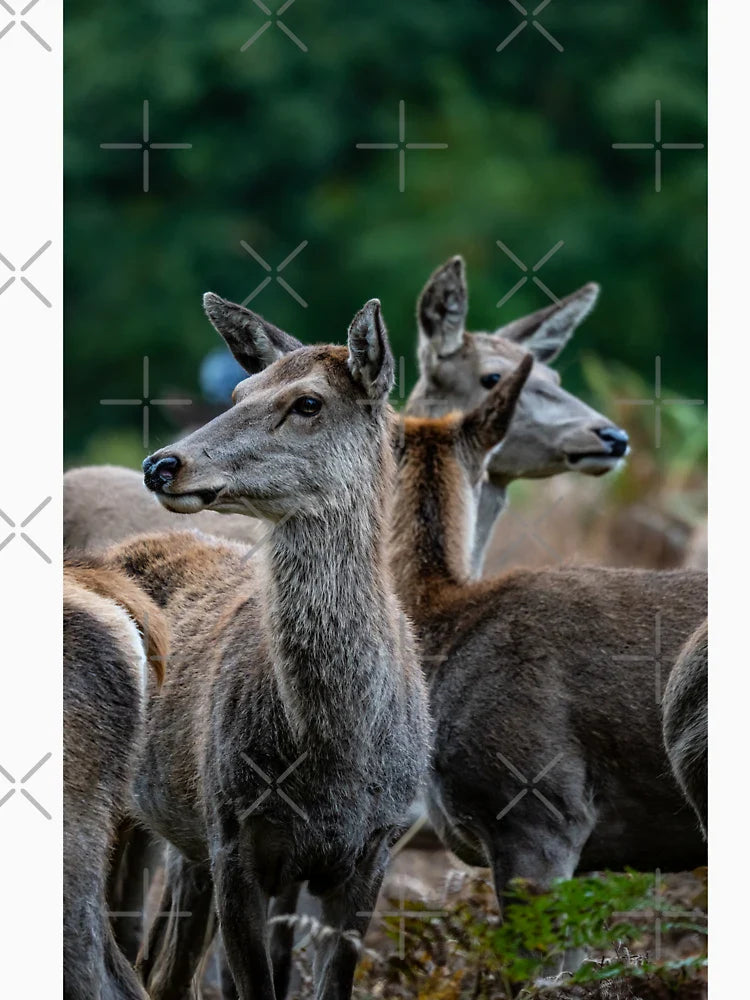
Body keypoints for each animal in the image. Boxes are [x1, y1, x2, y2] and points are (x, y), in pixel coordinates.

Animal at [96, 300, 431, 1000]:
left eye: (308, 402)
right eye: (238, 392)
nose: (162, 464)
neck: (330, 752)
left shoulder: (373, 850)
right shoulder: (234, 840)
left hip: (183, 842)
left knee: (161, 970)